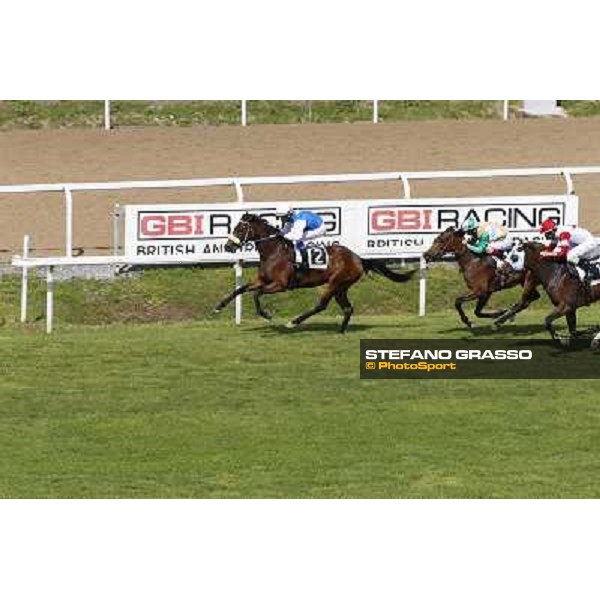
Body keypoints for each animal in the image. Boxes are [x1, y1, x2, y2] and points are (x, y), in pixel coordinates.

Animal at [216, 212, 418, 332]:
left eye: (241, 228)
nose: (228, 246)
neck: (274, 251)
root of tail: (357, 258)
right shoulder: (262, 279)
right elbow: (241, 289)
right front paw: (219, 305)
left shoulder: (280, 285)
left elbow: (256, 294)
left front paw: (266, 314)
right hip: (341, 287)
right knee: (347, 308)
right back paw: (341, 331)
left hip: (335, 282)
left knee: (321, 305)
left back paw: (294, 322)